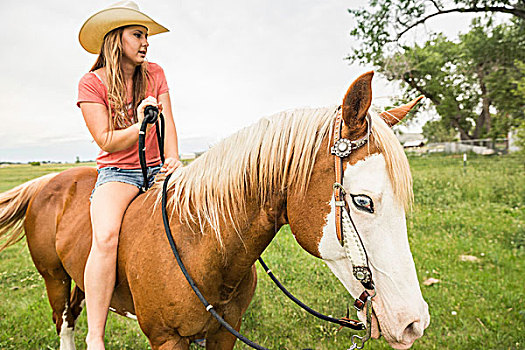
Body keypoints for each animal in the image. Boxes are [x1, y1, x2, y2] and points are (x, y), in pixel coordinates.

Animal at [0, 72, 428, 350]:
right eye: (363, 201)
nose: (414, 322)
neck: (200, 246)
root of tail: (47, 181)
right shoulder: (167, 340)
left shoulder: (224, 333)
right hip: (54, 279)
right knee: (65, 323)